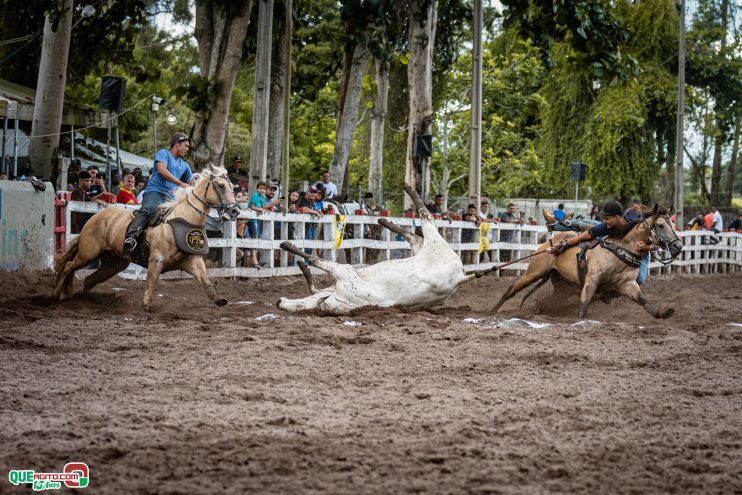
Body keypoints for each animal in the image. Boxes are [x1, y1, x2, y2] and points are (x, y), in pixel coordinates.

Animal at [53, 165, 240, 312]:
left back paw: (81, 299)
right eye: (221, 186)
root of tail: (96, 217)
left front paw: (218, 299)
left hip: (114, 263)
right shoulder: (156, 260)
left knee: (89, 279)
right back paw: (55, 296)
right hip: (88, 253)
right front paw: (145, 307)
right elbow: (150, 284)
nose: (235, 211)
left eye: (232, 186)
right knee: (68, 267)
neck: (183, 219)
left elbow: (206, 281)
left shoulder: (193, 261)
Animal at [274, 186, 476, 314]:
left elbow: (316, 260)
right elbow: (313, 284)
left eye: (301, 306)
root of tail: (461, 276)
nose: (278, 302)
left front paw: (289, 247)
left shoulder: (343, 271)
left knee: (426, 216)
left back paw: (406, 188)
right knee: (413, 235)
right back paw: (384, 220)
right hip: (421, 247)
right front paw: (302, 266)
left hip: (435, 241)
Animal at [494, 206, 684, 320]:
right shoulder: (593, 278)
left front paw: (664, 312)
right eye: (661, 225)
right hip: (534, 271)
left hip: (561, 283)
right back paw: (492, 310)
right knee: (511, 290)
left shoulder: (627, 284)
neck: (619, 249)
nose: (678, 246)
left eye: (673, 224)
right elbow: (584, 303)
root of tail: (548, 243)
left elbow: (644, 301)